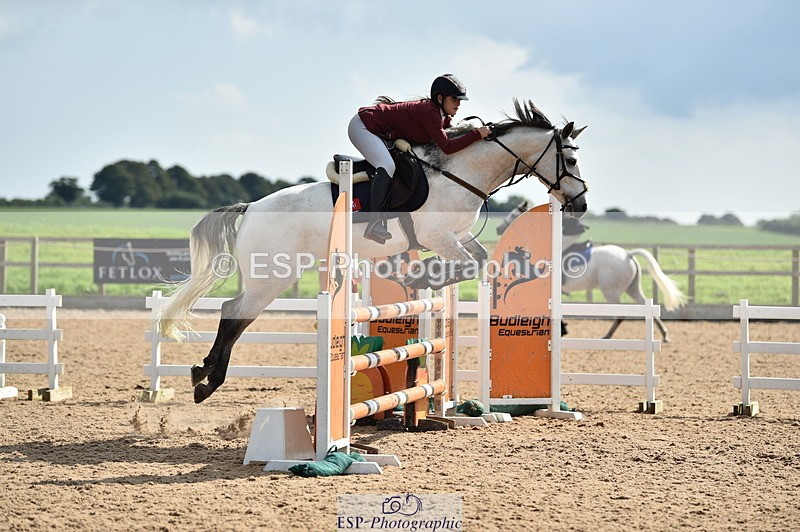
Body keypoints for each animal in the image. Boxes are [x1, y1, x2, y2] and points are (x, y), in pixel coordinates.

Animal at [158, 99, 590, 403]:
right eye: (570, 159)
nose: (581, 204)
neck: (459, 172)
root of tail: (250, 208)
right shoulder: (439, 236)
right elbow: (467, 265)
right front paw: (424, 275)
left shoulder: (456, 236)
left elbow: (478, 261)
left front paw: (425, 277)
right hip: (274, 275)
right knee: (234, 314)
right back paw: (207, 381)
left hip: (271, 276)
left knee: (234, 312)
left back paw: (202, 374)